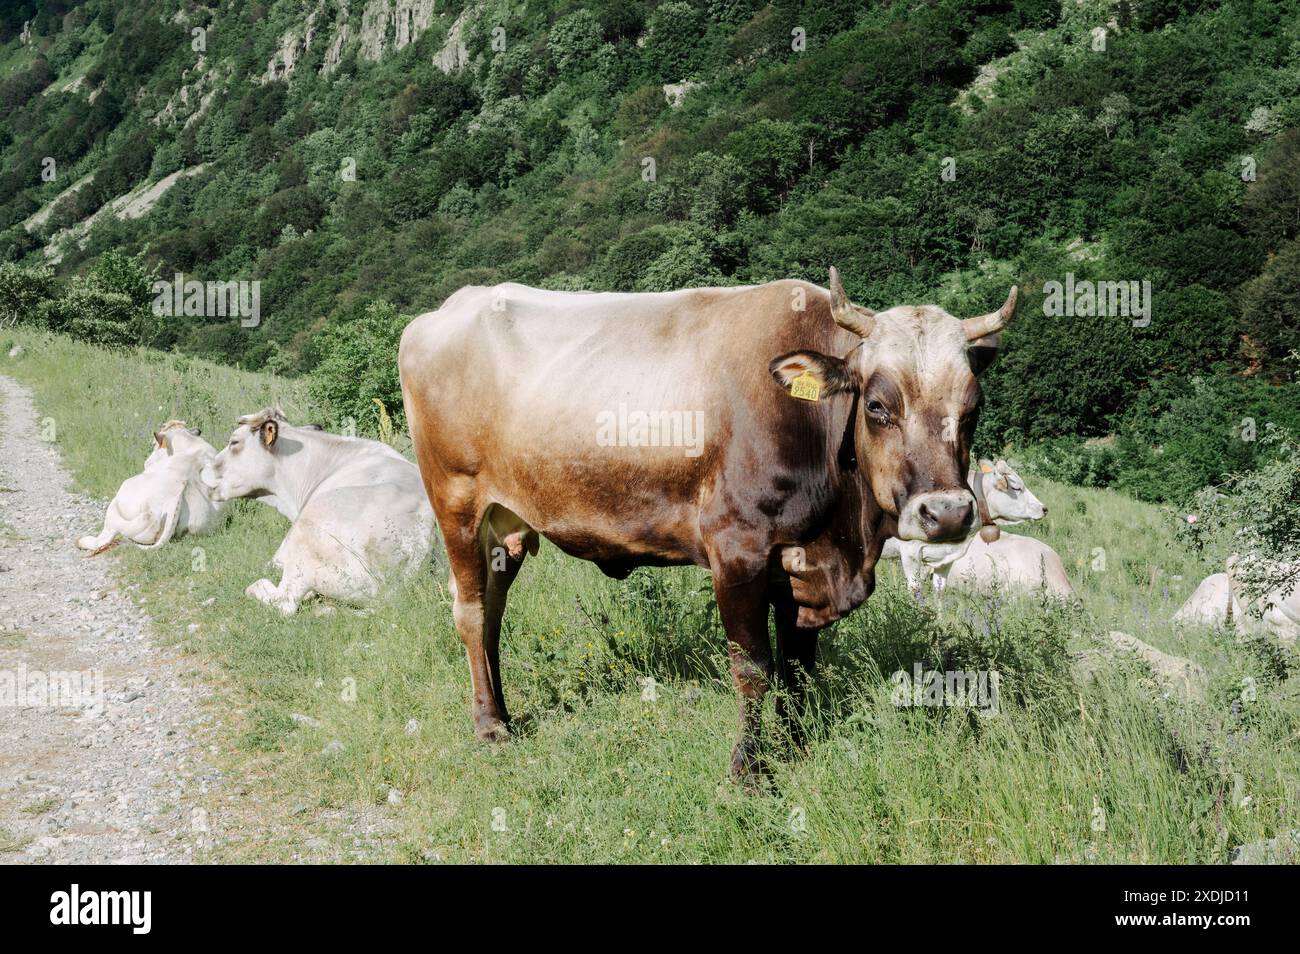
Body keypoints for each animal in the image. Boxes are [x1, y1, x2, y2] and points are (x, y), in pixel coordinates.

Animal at [78, 421, 223, 556]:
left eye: (153, 445)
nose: (146, 462)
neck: (187, 440)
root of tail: (174, 494)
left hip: (121, 498)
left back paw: (82, 541)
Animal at [400, 270, 1019, 785]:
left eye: (972, 409)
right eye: (876, 405)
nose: (947, 513)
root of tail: (449, 308)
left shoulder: (799, 564)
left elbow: (798, 666)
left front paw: (795, 747)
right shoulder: (737, 550)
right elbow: (754, 668)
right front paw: (748, 767)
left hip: (507, 527)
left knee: (493, 615)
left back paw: (502, 712)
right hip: (457, 503)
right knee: (471, 613)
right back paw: (489, 727)